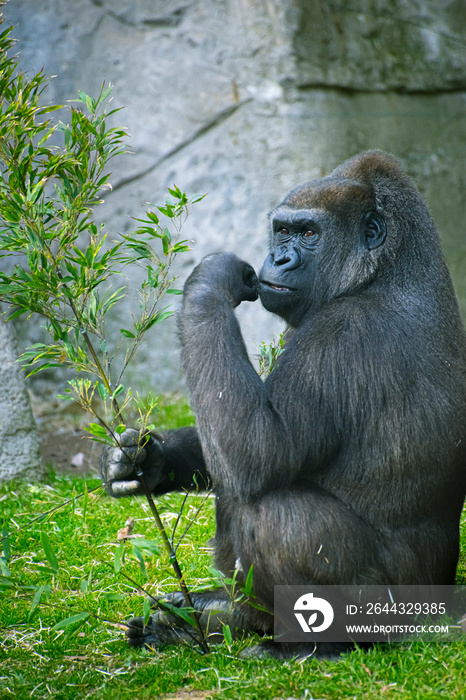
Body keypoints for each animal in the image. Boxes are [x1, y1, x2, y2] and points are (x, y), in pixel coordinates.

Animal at [102, 150, 466, 660]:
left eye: (309, 234)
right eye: (282, 230)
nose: (278, 258)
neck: (386, 269)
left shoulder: (342, 334)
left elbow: (259, 451)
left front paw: (209, 281)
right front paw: (146, 459)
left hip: (392, 611)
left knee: (271, 511)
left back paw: (314, 644)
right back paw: (208, 620)